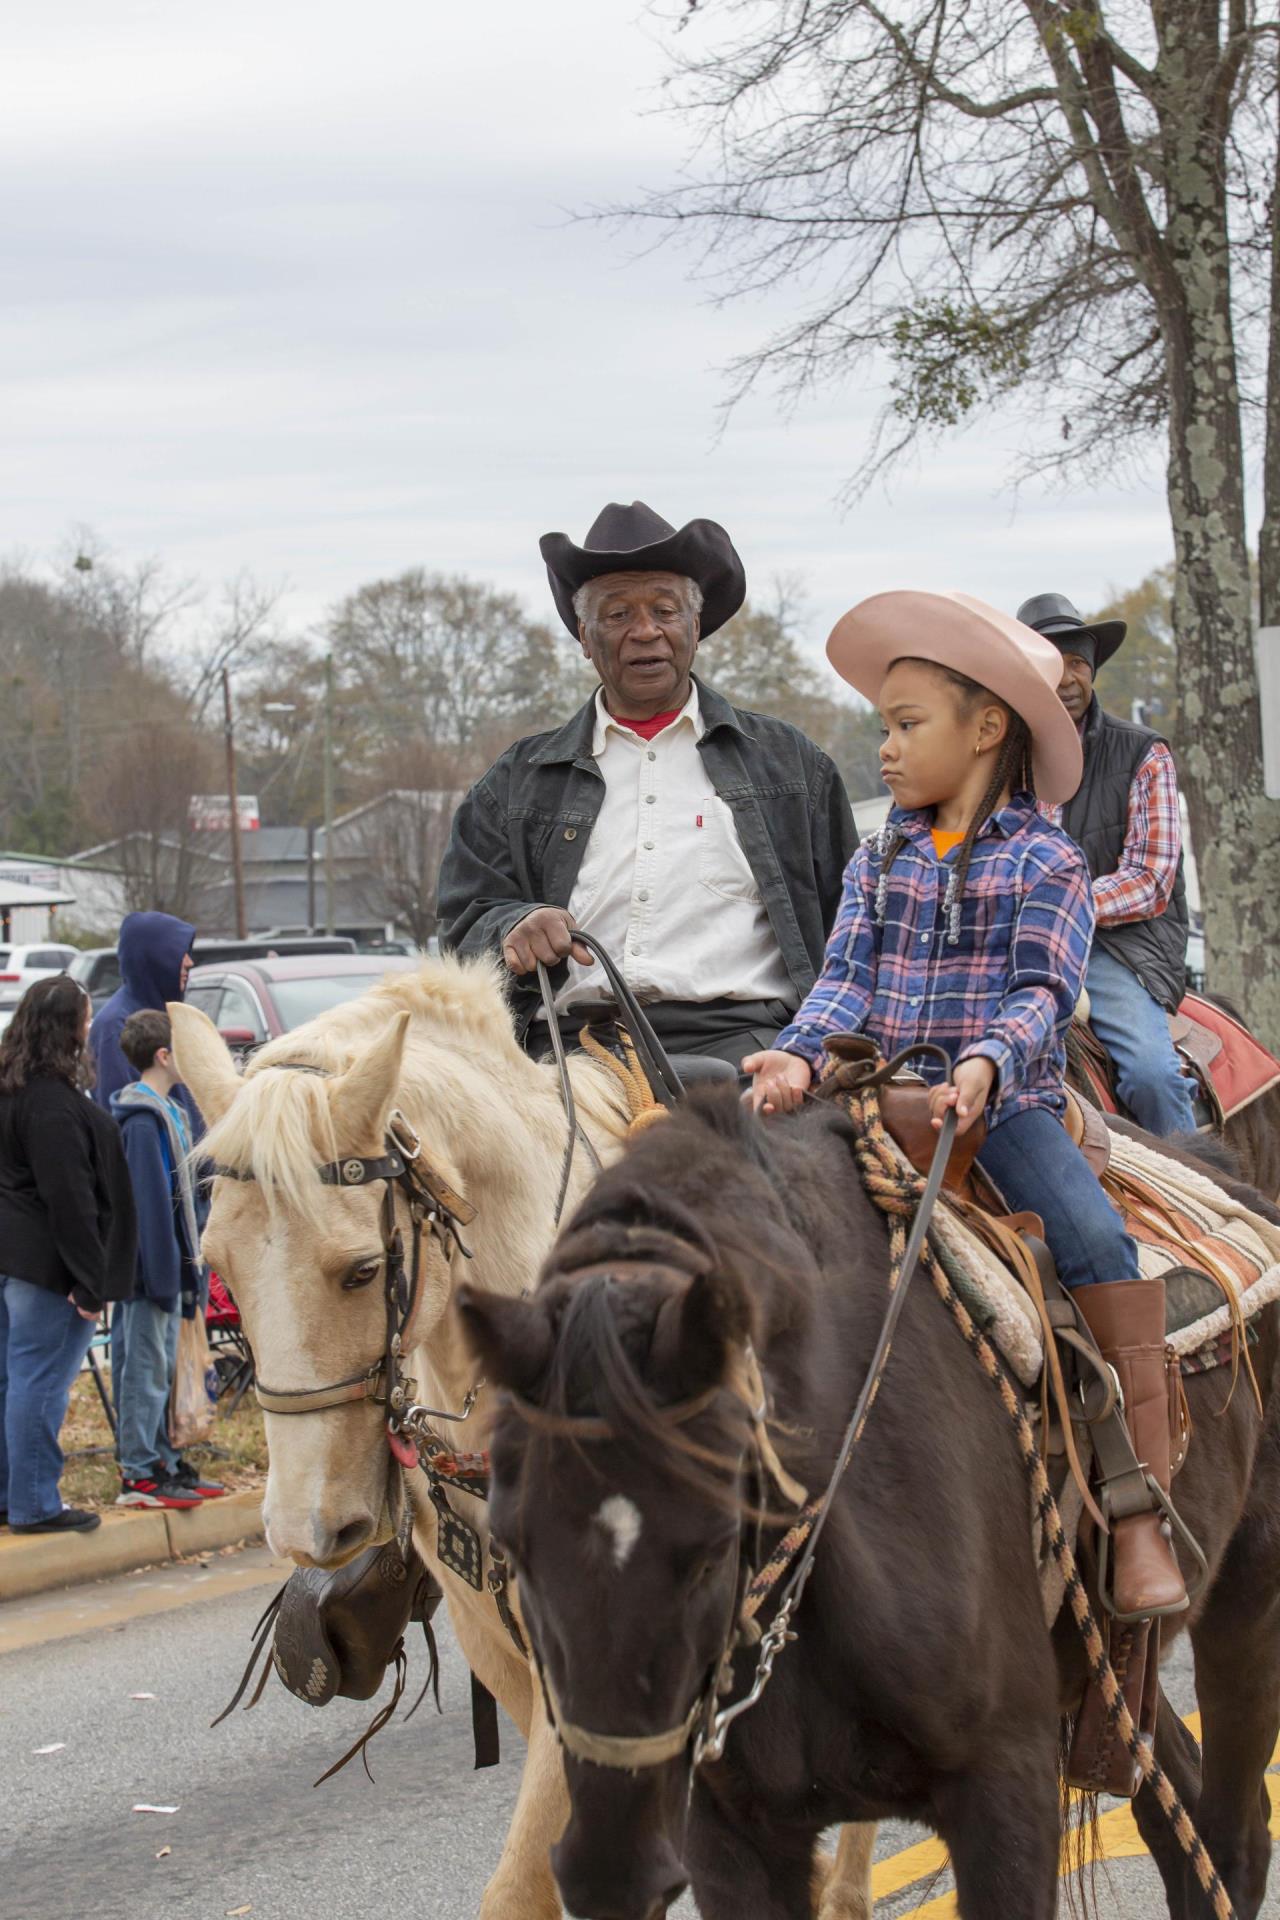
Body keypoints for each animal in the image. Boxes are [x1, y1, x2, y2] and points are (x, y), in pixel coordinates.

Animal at [466, 1090, 1280, 1920]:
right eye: (510, 1544)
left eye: (713, 1549)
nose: (607, 1872)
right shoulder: (728, 1834)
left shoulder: (1006, 1788)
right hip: (1110, 1687)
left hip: (1247, 1599)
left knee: (1233, 1840)